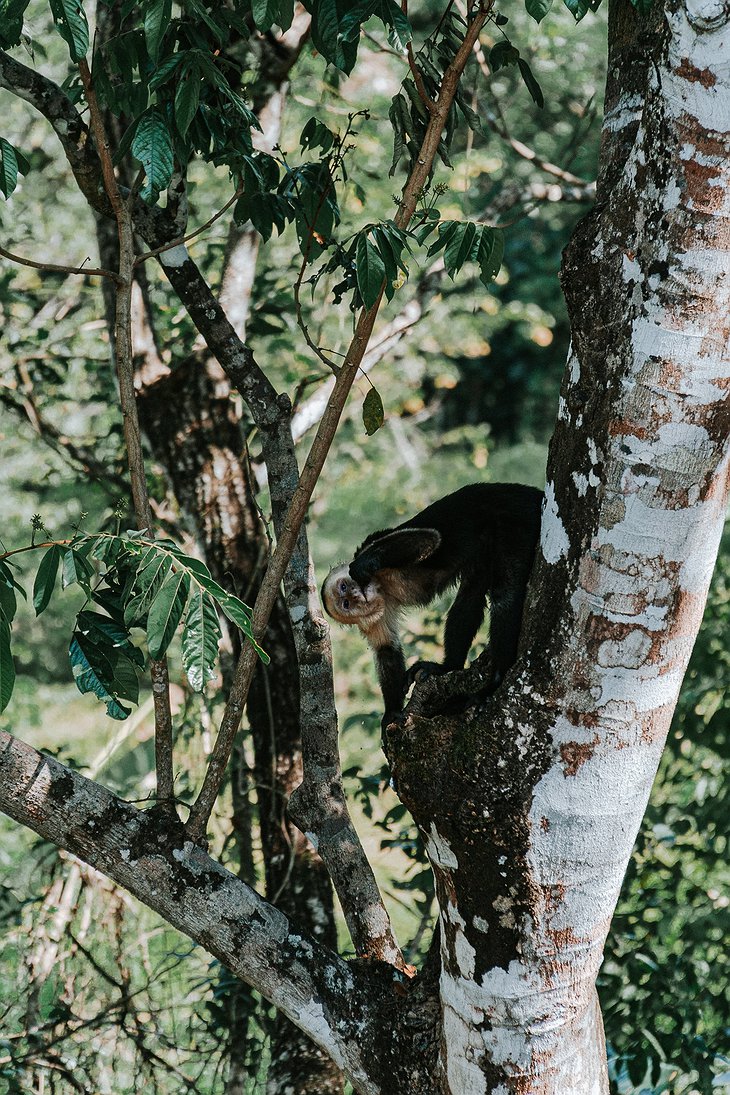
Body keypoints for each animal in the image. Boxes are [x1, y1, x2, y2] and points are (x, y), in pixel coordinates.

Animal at [321, 486, 545, 727]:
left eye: (344, 586)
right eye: (346, 604)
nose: (355, 595)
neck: (382, 587)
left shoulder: (369, 550)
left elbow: (428, 539)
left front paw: (364, 564)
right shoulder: (374, 612)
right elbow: (386, 649)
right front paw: (392, 711)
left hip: (516, 517)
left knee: (505, 592)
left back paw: (496, 681)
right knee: (471, 592)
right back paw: (448, 667)